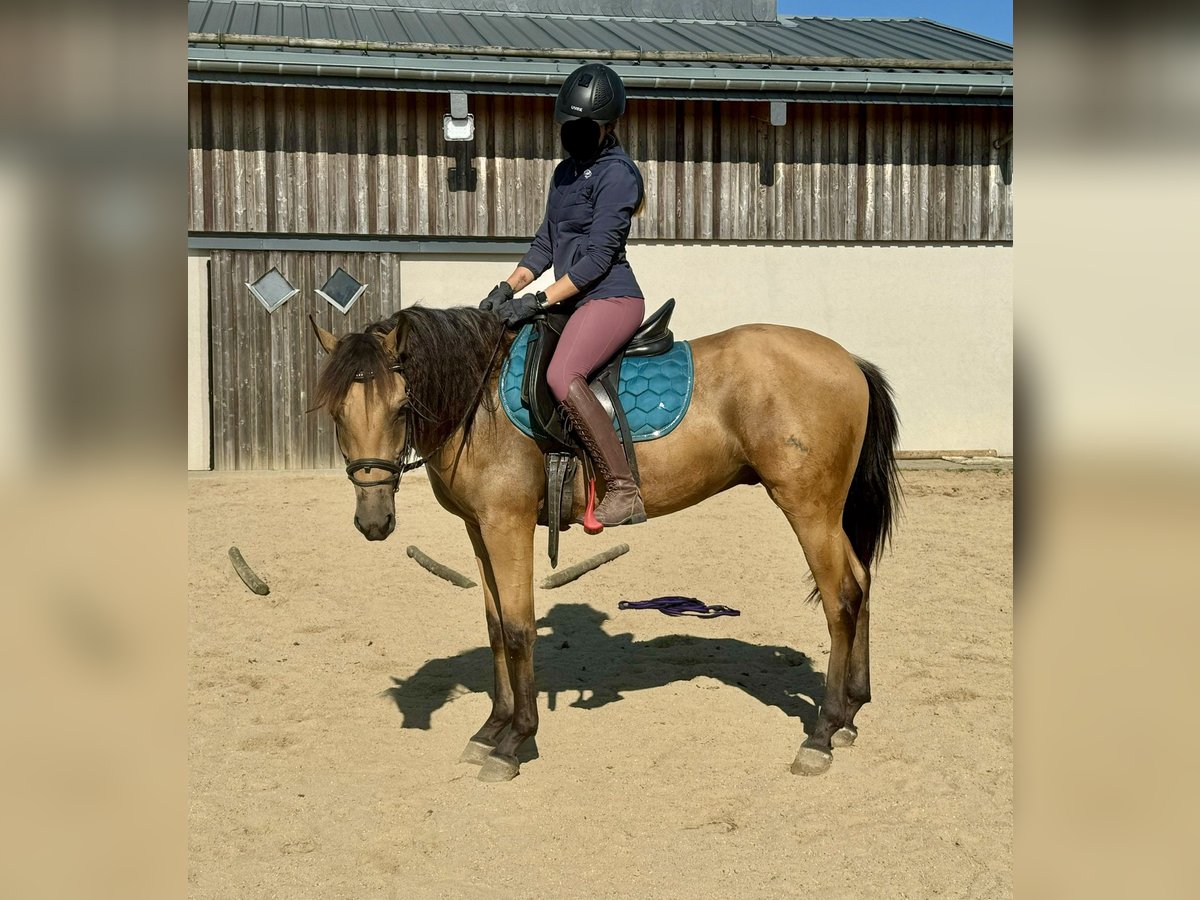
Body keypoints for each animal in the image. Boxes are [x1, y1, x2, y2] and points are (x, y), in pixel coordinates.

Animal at [309, 304, 902, 782]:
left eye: (401, 408)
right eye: (336, 413)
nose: (374, 521)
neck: (480, 402)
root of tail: (847, 360)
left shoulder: (507, 525)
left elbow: (520, 629)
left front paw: (515, 740)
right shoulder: (478, 529)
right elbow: (496, 626)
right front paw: (490, 728)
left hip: (809, 509)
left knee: (840, 600)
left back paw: (822, 732)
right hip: (825, 514)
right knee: (862, 585)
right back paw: (851, 713)